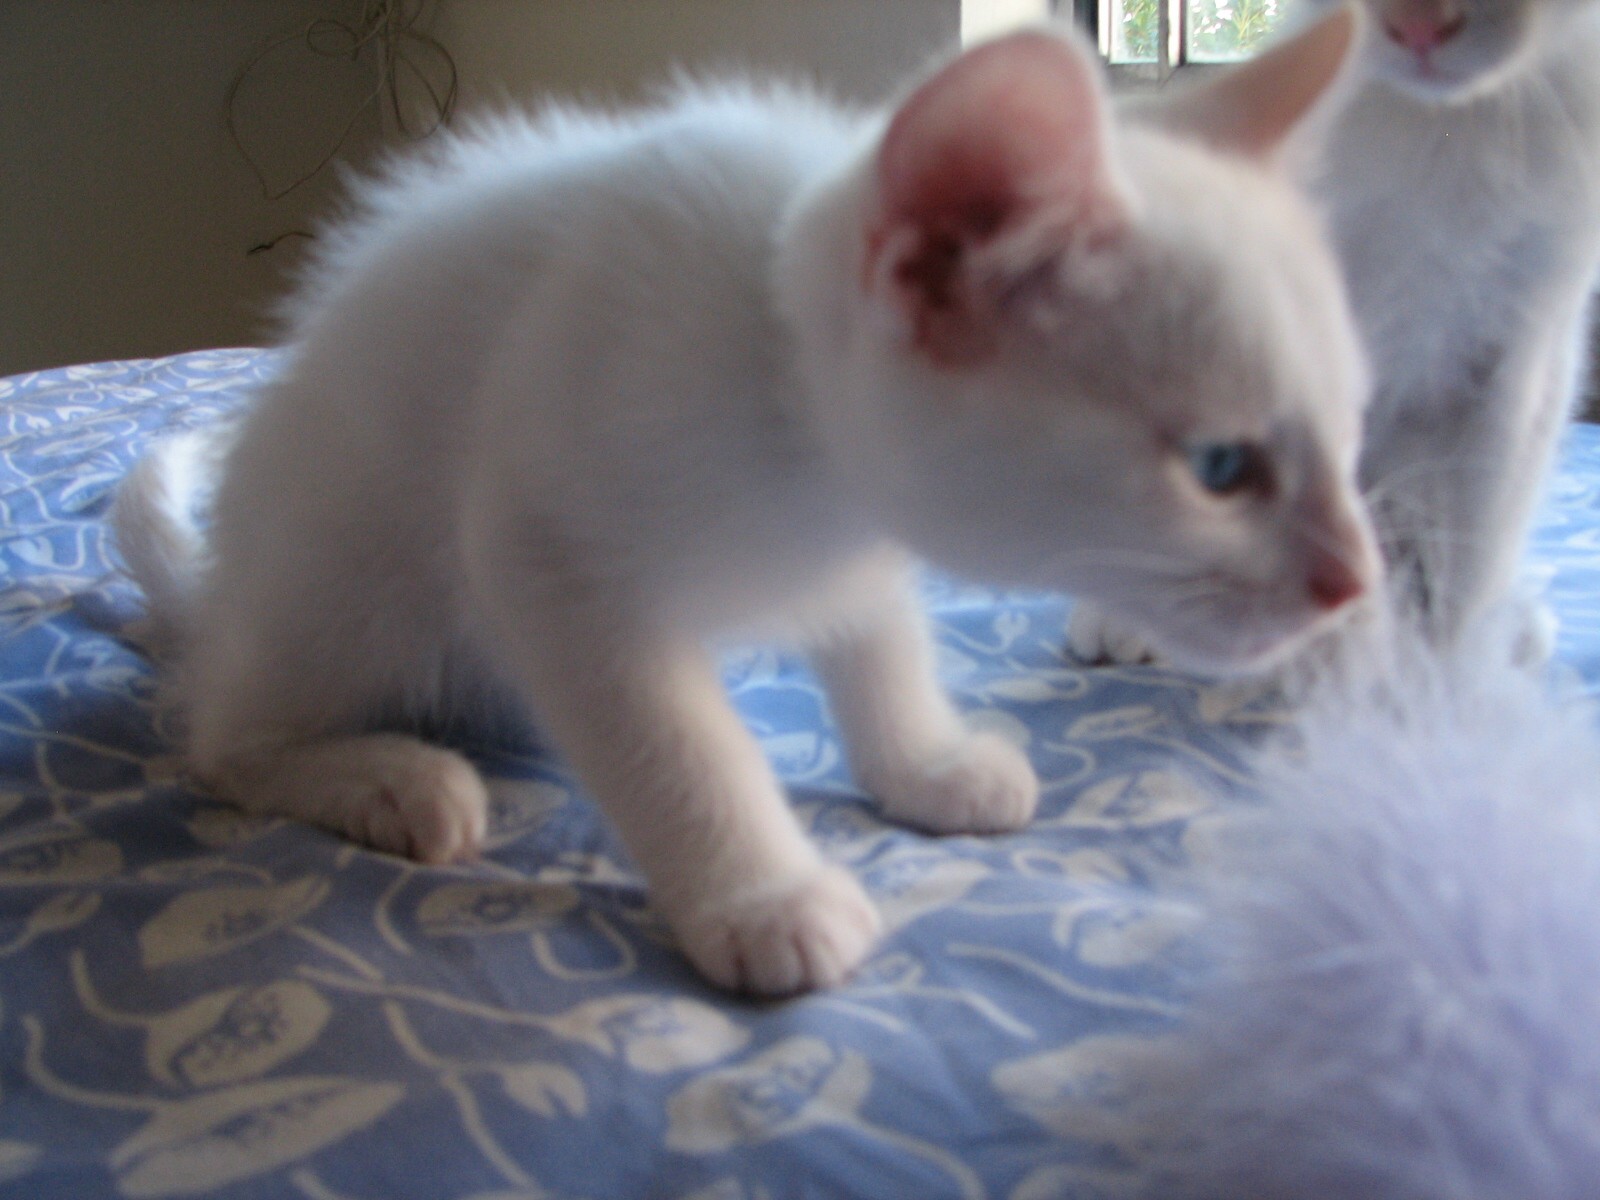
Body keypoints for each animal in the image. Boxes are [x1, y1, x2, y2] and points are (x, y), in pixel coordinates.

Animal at [112, 16, 1369, 998]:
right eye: (1221, 467)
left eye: (1352, 430)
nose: (1353, 584)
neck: (787, 413)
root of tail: (220, 596)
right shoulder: (542, 545)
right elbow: (672, 741)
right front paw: (760, 897)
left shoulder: (858, 551)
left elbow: (880, 643)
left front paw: (922, 763)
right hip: (353, 577)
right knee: (220, 742)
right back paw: (388, 777)